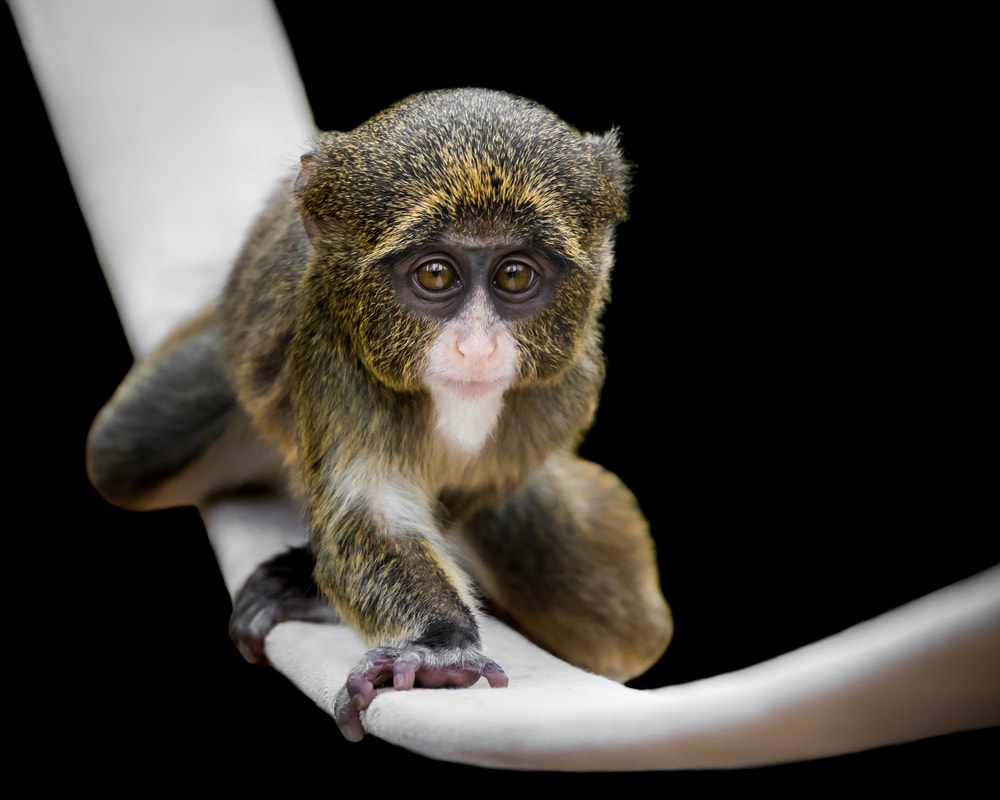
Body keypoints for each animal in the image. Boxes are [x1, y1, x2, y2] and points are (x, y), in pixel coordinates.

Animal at [86, 87, 673, 742]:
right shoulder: (333, 339)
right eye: (436, 274)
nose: (476, 348)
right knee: (120, 453)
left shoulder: (568, 385)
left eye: (515, 274)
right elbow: (373, 504)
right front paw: (441, 646)